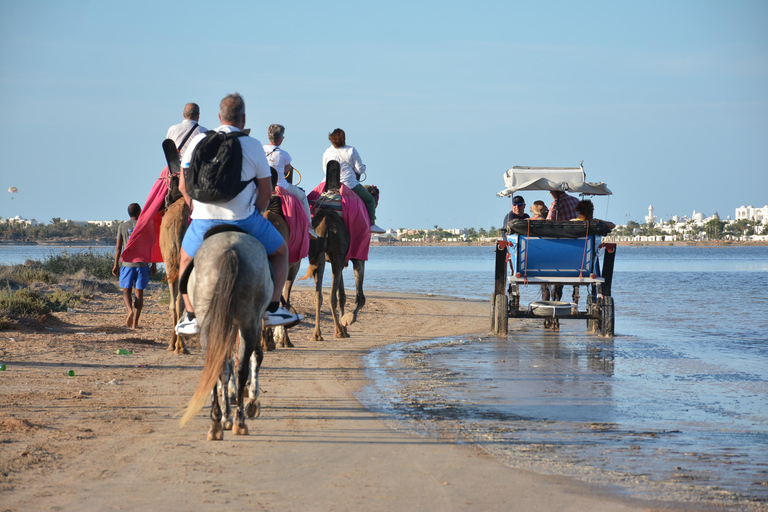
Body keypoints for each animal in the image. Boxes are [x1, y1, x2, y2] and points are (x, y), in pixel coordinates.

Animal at [178, 229, 272, 440]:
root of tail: (231, 249)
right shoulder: (252, 322)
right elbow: (254, 357)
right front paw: (252, 401)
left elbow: (227, 365)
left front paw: (226, 412)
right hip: (247, 321)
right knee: (240, 367)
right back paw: (237, 421)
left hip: (212, 321)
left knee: (216, 365)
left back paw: (217, 424)